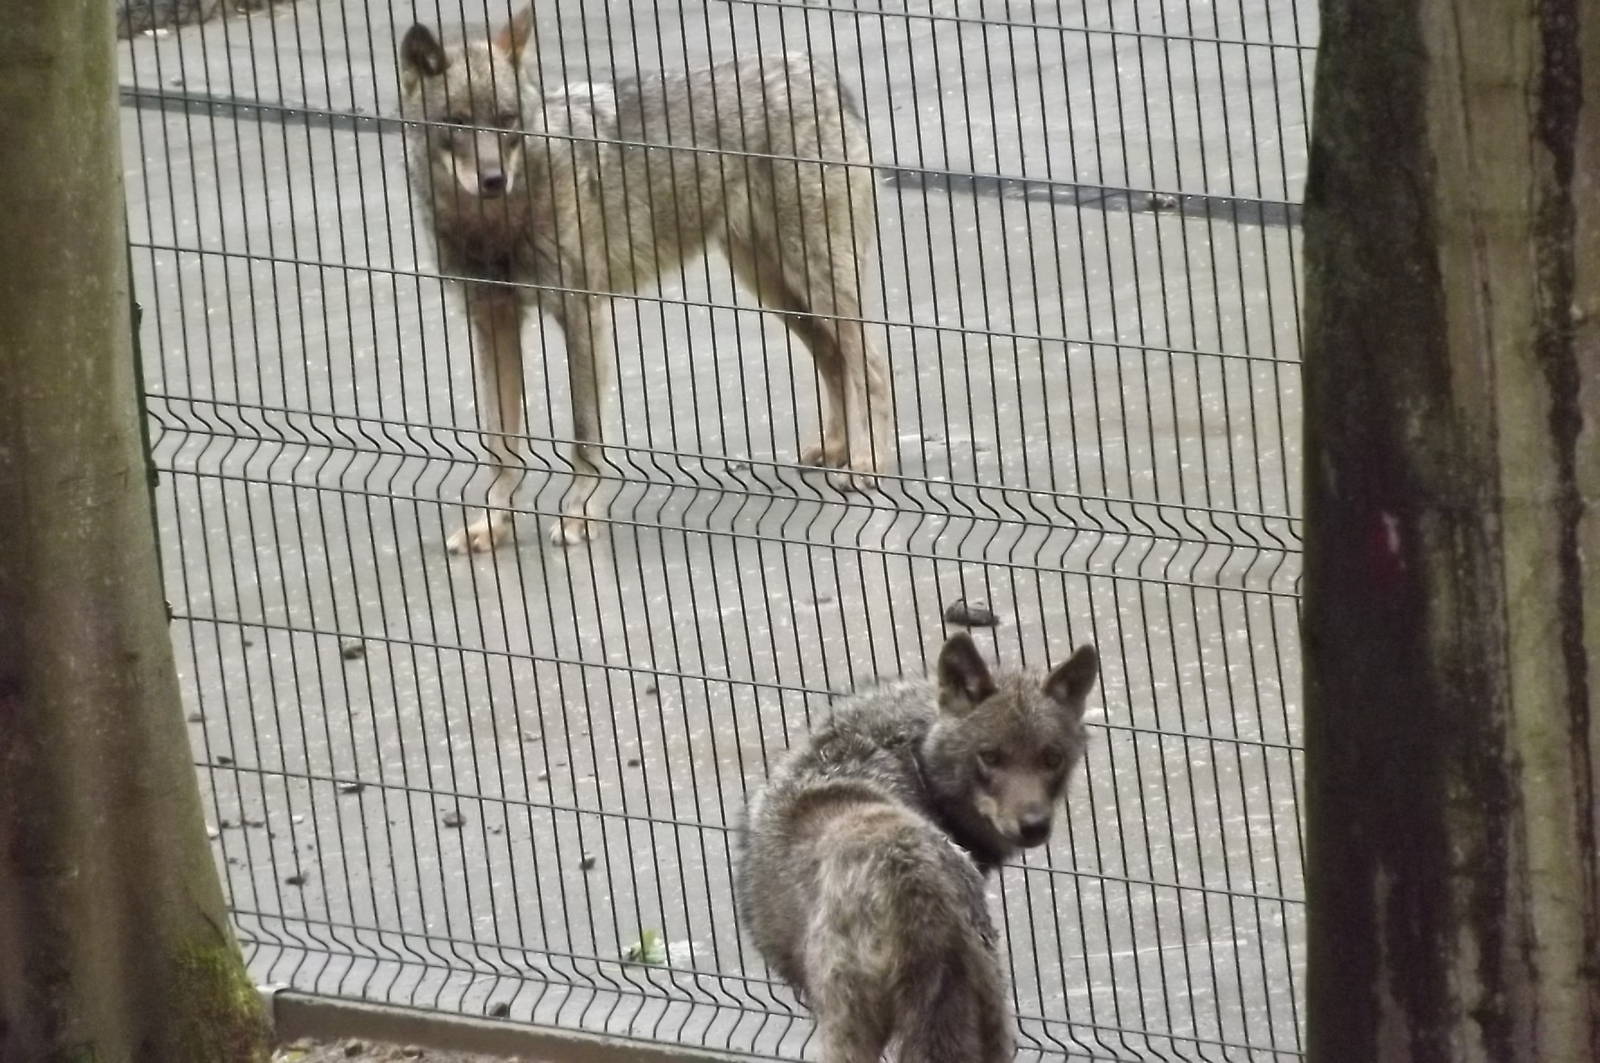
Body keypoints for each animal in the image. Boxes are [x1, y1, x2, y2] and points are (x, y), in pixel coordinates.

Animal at [398, 7, 893, 552]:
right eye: (457, 122)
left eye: (507, 120)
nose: (492, 181)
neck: (494, 224)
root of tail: (814, 71)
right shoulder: (492, 323)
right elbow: (500, 446)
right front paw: (492, 524)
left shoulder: (582, 315)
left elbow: (584, 436)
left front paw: (581, 515)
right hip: (777, 291)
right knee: (834, 359)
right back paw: (838, 448)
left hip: (817, 281)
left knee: (870, 364)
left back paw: (867, 463)